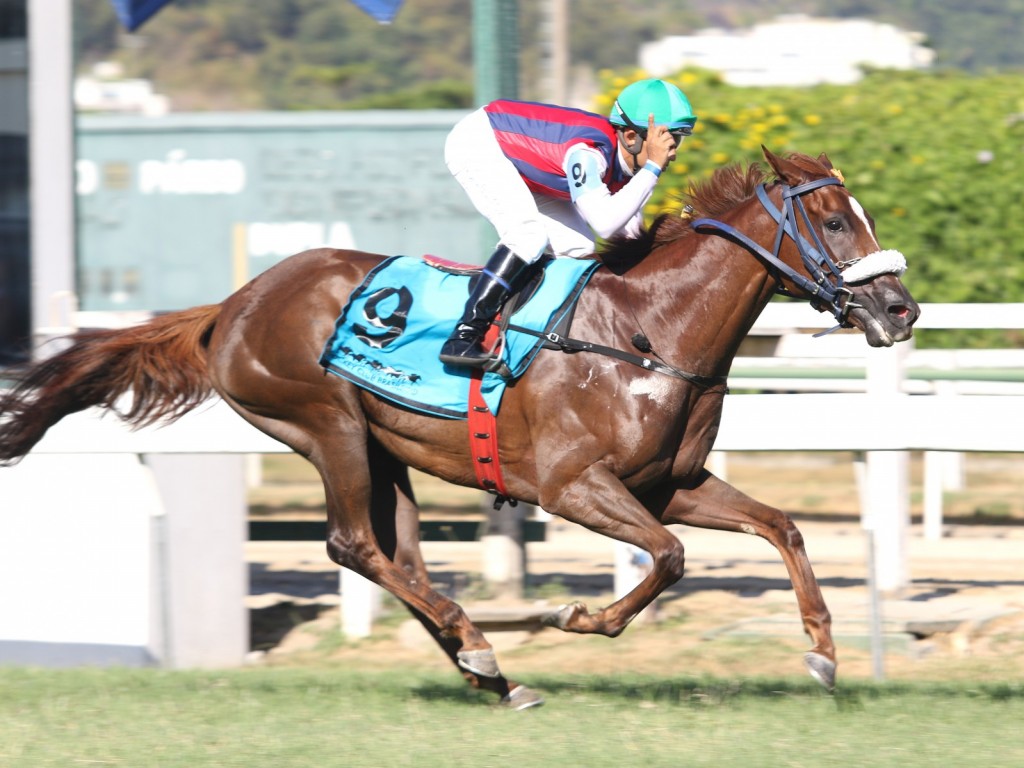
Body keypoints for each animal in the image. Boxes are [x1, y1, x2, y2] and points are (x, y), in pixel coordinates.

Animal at [0, 148, 921, 708]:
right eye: (835, 222)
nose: (902, 309)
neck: (648, 331)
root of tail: (234, 303)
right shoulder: (571, 486)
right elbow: (668, 557)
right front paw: (576, 620)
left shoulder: (671, 484)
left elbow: (781, 527)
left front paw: (824, 654)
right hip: (324, 424)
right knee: (353, 546)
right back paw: (480, 650)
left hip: (385, 451)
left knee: (398, 556)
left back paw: (489, 668)